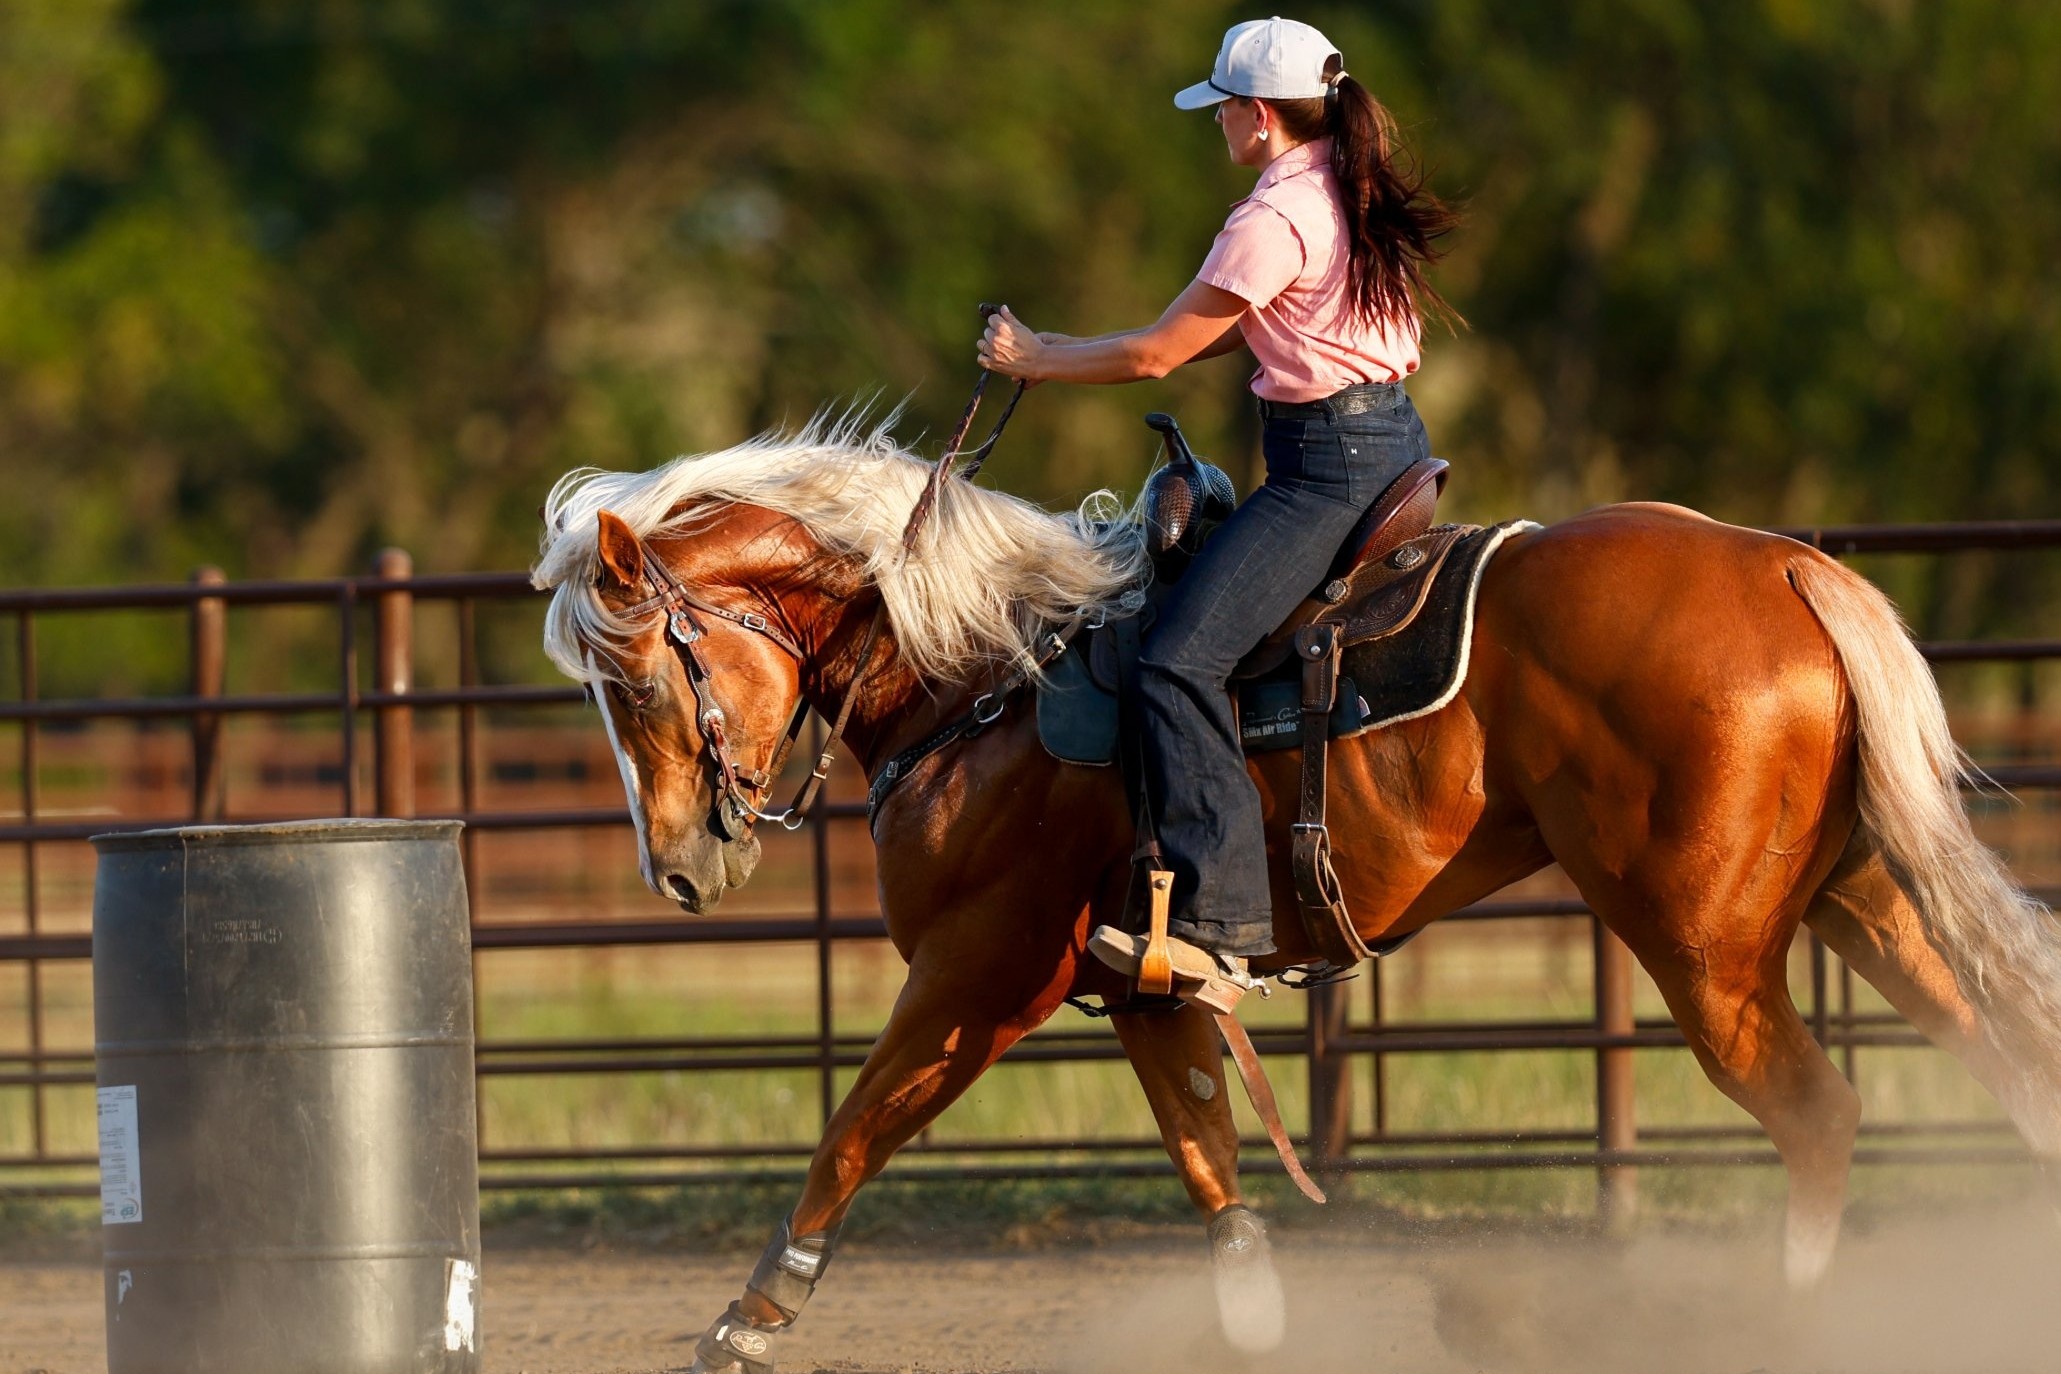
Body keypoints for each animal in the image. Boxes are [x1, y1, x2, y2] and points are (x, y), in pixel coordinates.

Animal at [531, 415, 2061, 1372]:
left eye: (635, 679)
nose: (683, 866)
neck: (984, 675)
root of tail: (1784, 565)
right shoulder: (1141, 992)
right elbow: (1211, 1159)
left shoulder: (980, 975)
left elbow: (850, 1133)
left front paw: (747, 1319)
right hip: (1864, 900)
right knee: (2007, 1059)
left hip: (1703, 942)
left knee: (1818, 1111)